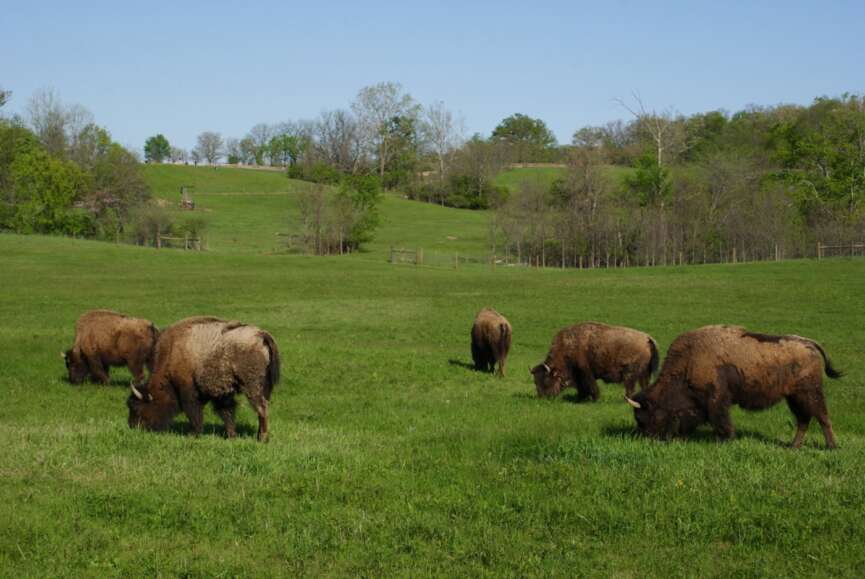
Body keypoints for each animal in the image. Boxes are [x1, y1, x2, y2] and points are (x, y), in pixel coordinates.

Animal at [127, 316, 280, 442]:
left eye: (137, 408)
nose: (133, 426)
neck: (172, 353)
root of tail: (261, 335)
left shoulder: (188, 391)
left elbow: (194, 412)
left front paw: (193, 434)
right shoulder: (222, 394)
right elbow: (226, 413)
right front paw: (231, 436)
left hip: (252, 387)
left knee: (262, 408)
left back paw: (262, 438)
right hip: (265, 388)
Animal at [626, 325, 841, 449]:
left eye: (643, 417)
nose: (646, 438)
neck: (689, 361)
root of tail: (809, 344)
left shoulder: (716, 399)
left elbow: (720, 419)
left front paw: (725, 439)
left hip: (809, 394)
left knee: (822, 417)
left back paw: (831, 446)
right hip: (794, 398)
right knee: (804, 420)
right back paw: (793, 446)